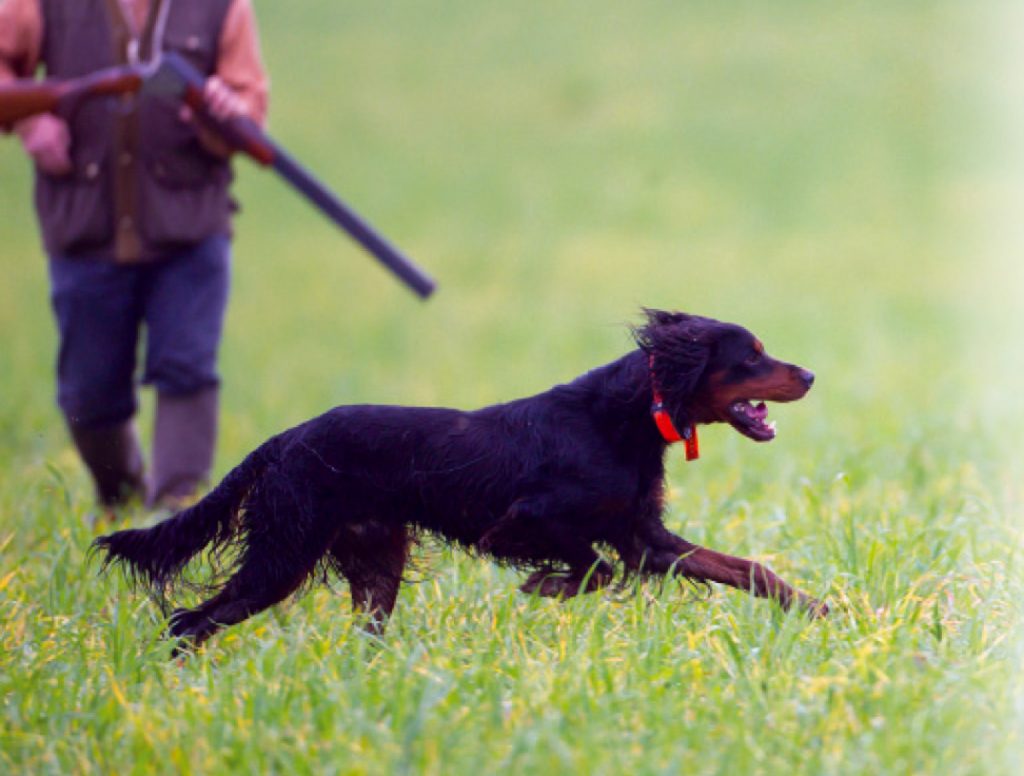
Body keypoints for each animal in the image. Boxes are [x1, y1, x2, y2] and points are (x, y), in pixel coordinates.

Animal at [96, 311, 827, 655]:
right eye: (751, 355)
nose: (812, 375)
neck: (623, 415)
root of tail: (285, 439)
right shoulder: (526, 520)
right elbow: (593, 568)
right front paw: (546, 586)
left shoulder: (644, 537)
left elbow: (747, 568)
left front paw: (817, 607)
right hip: (283, 552)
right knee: (189, 620)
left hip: (372, 562)